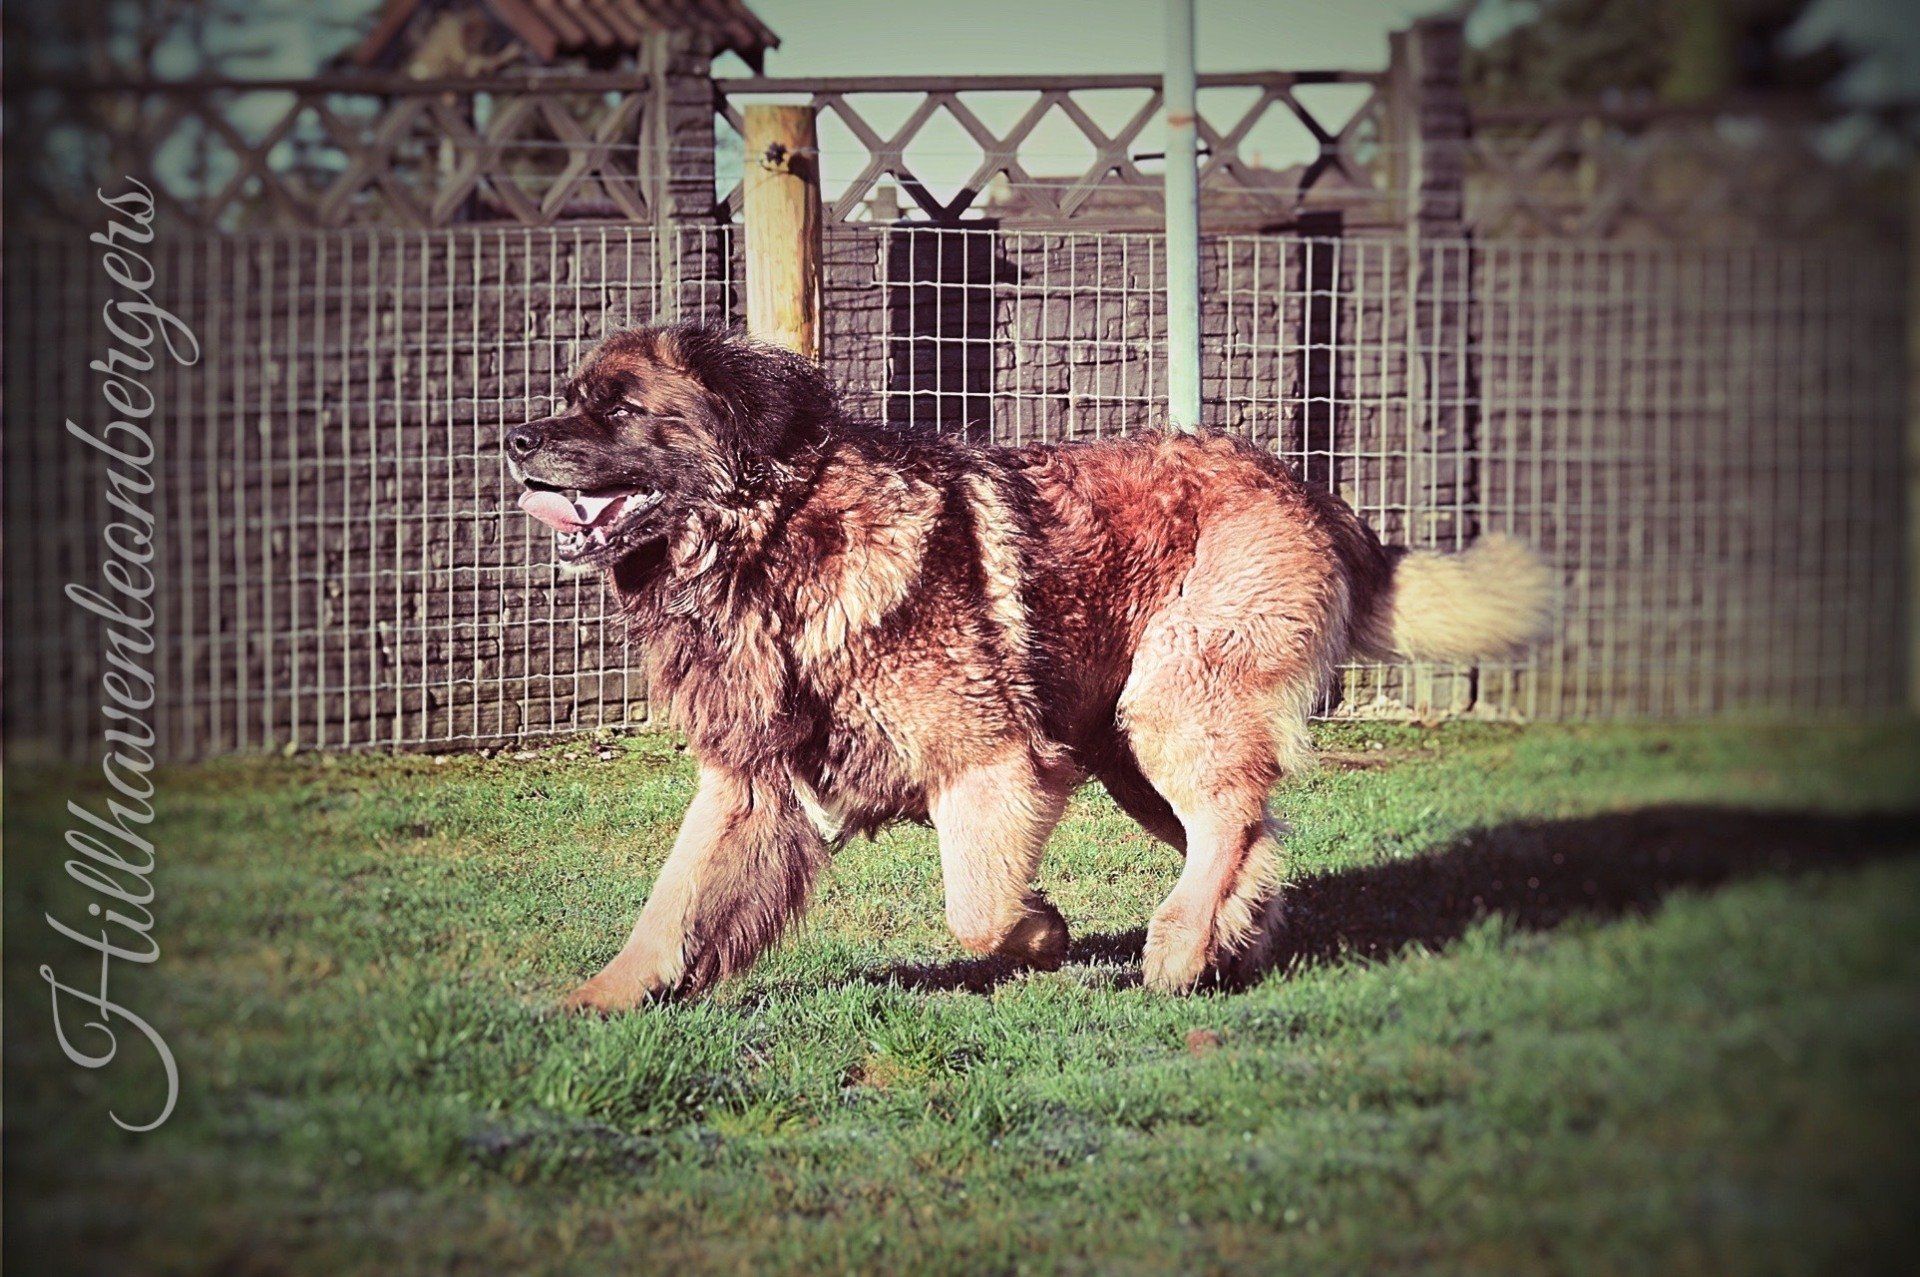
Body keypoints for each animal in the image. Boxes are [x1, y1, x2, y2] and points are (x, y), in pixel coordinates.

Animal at [503, 324, 1551, 1013]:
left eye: (621, 409)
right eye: (572, 397)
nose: (515, 439)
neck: (775, 540)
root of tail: (1302, 485)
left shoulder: (994, 761)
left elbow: (975, 905)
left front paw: (1041, 929)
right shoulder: (749, 778)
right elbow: (672, 900)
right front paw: (602, 995)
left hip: (1174, 707)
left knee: (1226, 821)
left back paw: (1178, 947)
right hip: (1130, 748)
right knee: (1248, 834)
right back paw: (1226, 938)